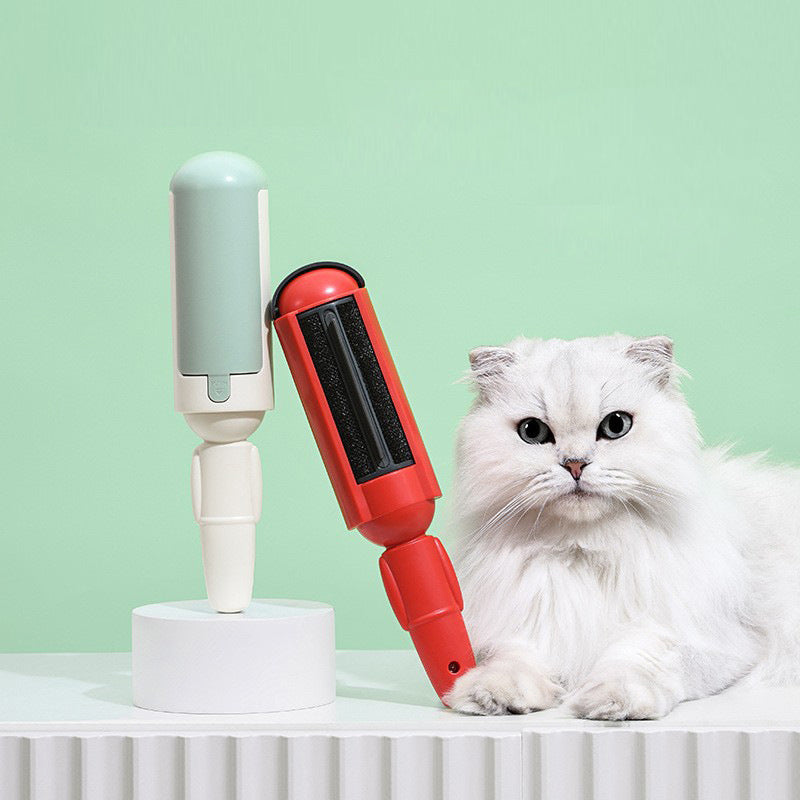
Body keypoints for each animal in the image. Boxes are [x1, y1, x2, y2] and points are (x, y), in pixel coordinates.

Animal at [444, 334, 800, 720]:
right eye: (532, 431)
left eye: (616, 426)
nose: (575, 464)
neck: (584, 551)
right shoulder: (524, 628)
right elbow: (513, 661)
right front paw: (493, 695)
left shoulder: (716, 643)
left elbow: (638, 660)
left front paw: (612, 701)